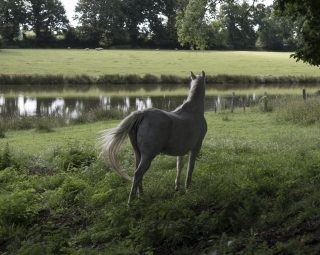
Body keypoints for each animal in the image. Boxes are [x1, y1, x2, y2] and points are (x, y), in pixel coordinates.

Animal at [101, 70, 209, 205]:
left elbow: (179, 166)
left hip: (138, 154)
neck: (193, 111)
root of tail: (142, 114)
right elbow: (190, 168)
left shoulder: (181, 151)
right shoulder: (195, 147)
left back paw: (141, 195)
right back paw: (130, 202)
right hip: (148, 155)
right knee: (138, 173)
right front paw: (188, 189)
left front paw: (177, 187)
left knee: (137, 173)